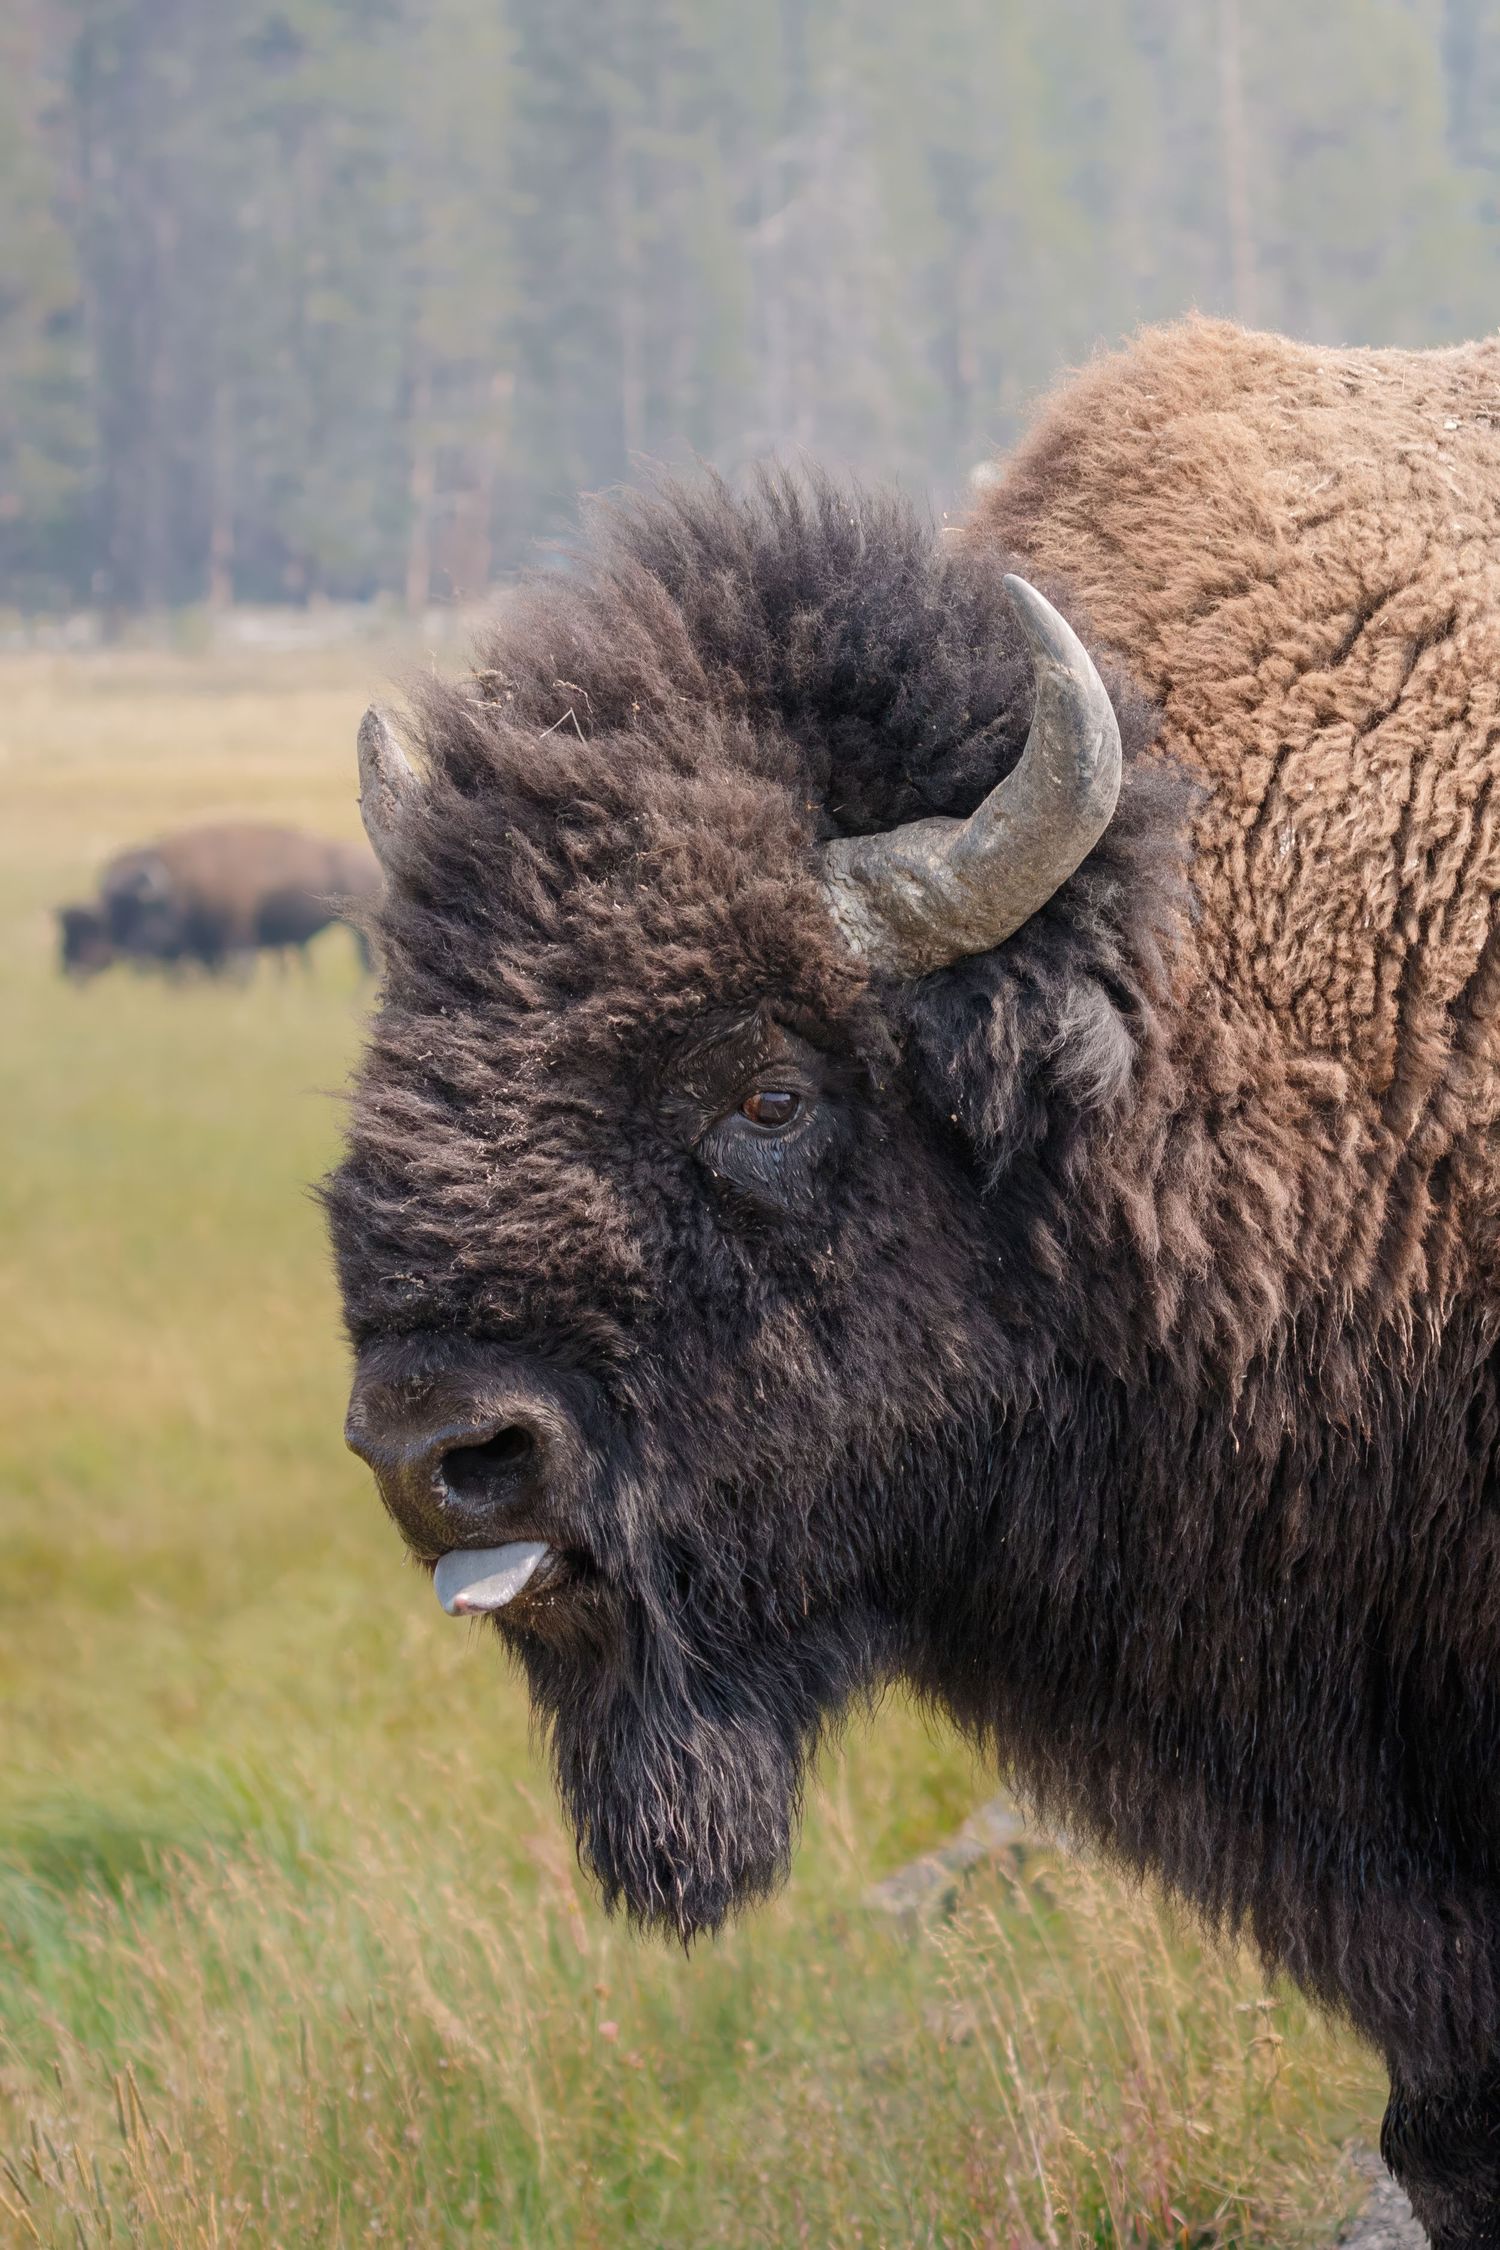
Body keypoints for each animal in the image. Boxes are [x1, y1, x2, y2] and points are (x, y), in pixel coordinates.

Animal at [58, 822, 381, 979]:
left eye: (138, 912)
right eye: (112, 916)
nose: (71, 972)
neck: (182, 883)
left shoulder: (236, 939)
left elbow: (237, 973)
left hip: (360, 932)